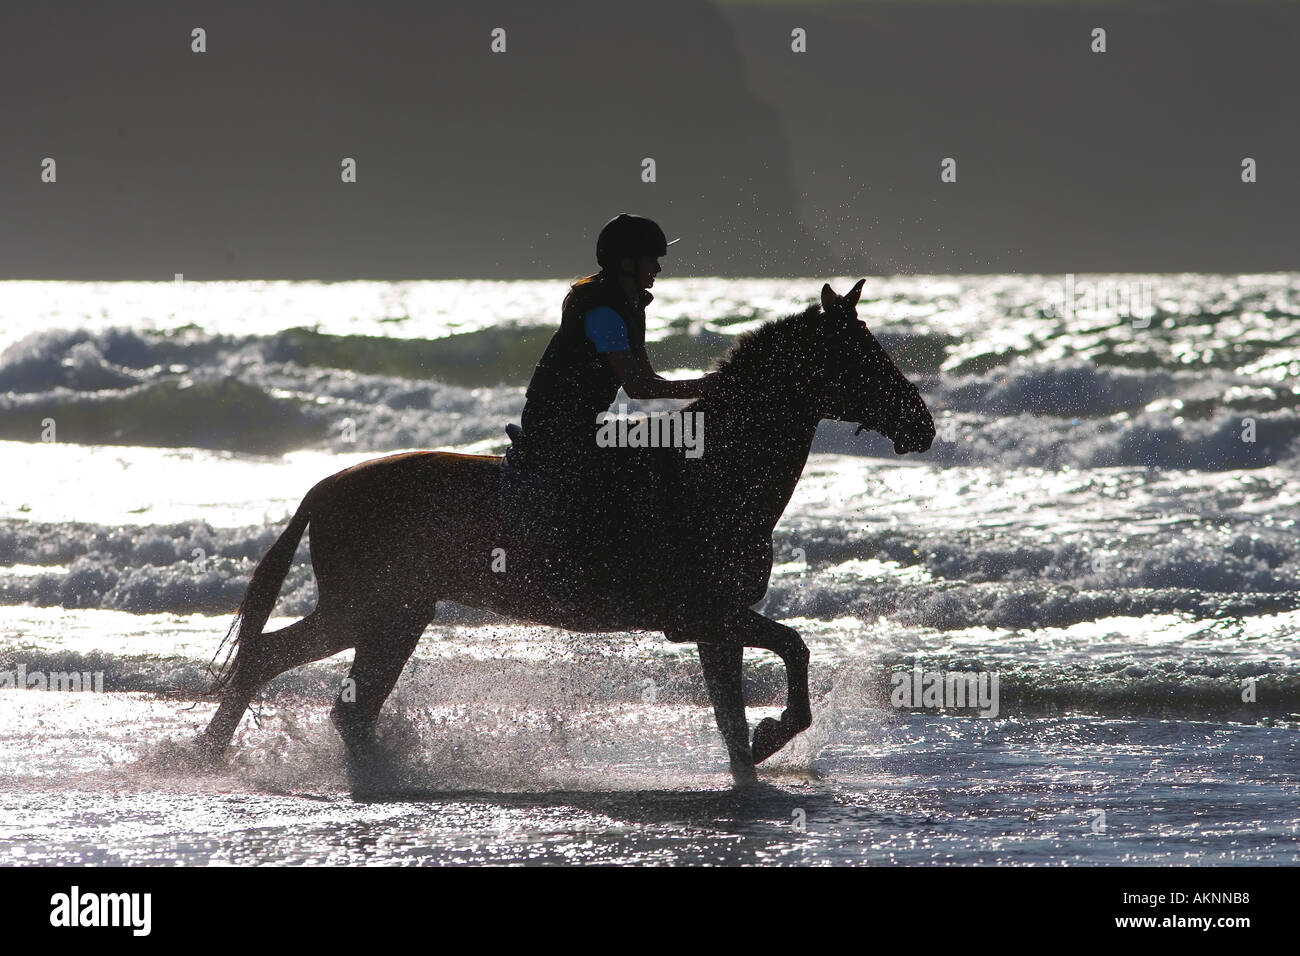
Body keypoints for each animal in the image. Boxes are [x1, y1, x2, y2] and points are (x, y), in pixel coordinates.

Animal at [197, 280, 935, 790]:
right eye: (865, 359)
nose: (923, 426)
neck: (715, 471)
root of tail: (324, 489)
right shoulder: (710, 615)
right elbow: (793, 652)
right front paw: (771, 736)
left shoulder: (715, 624)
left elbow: (744, 703)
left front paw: (757, 753)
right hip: (367, 609)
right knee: (270, 661)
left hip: (396, 614)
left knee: (337, 701)